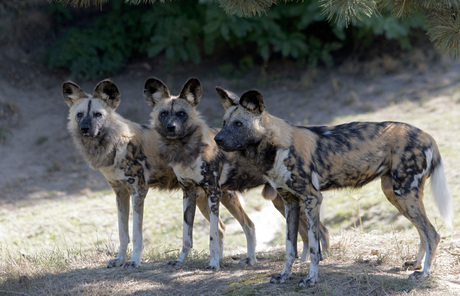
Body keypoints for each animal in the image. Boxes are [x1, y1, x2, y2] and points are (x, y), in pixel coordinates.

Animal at [62, 80, 258, 270]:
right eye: (80, 115)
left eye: (98, 115)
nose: (85, 128)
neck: (116, 144)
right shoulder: (121, 193)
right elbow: (123, 233)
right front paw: (119, 260)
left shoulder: (138, 192)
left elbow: (136, 234)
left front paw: (134, 261)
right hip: (202, 198)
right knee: (222, 229)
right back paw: (221, 260)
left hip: (223, 195)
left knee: (248, 225)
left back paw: (248, 260)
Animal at [145, 77, 330, 270]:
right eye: (164, 114)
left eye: (181, 114)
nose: (171, 127)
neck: (185, 149)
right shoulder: (188, 193)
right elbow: (186, 235)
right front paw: (181, 260)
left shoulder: (213, 193)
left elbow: (213, 236)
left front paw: (214, 264)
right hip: (281, 201)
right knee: (299, 233)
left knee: (322, 231)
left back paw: (321, 259)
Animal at [215, 86, 452, 286]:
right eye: (224, 122)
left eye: (238, 124)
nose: (217, 139)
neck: (275, 148)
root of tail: (427, 135)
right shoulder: (290, 202)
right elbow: (290, 247)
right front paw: (284, 276)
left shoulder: (312, 199)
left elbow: (313, 246)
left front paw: (311, 279)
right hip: (396, 194)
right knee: (423, 232)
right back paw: (416, 264)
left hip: (403, 193)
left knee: (432, 234)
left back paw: (424, 274)